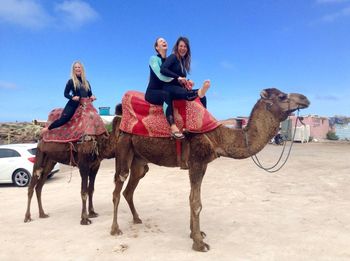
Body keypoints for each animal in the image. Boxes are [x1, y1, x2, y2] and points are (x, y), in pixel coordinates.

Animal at [110, 88, 310, 251]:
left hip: (139, 160)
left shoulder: (202, 164)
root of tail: (120, 117)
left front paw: (196, 234)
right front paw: (199, 244)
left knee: (130, 189)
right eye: (282, 96)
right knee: (118, 188)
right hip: (124, 148)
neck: (218, 137)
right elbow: (196, 202)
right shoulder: (197, 161)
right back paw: (115, 229)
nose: (305, 98)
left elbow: (193, 198)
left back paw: (137, 219)